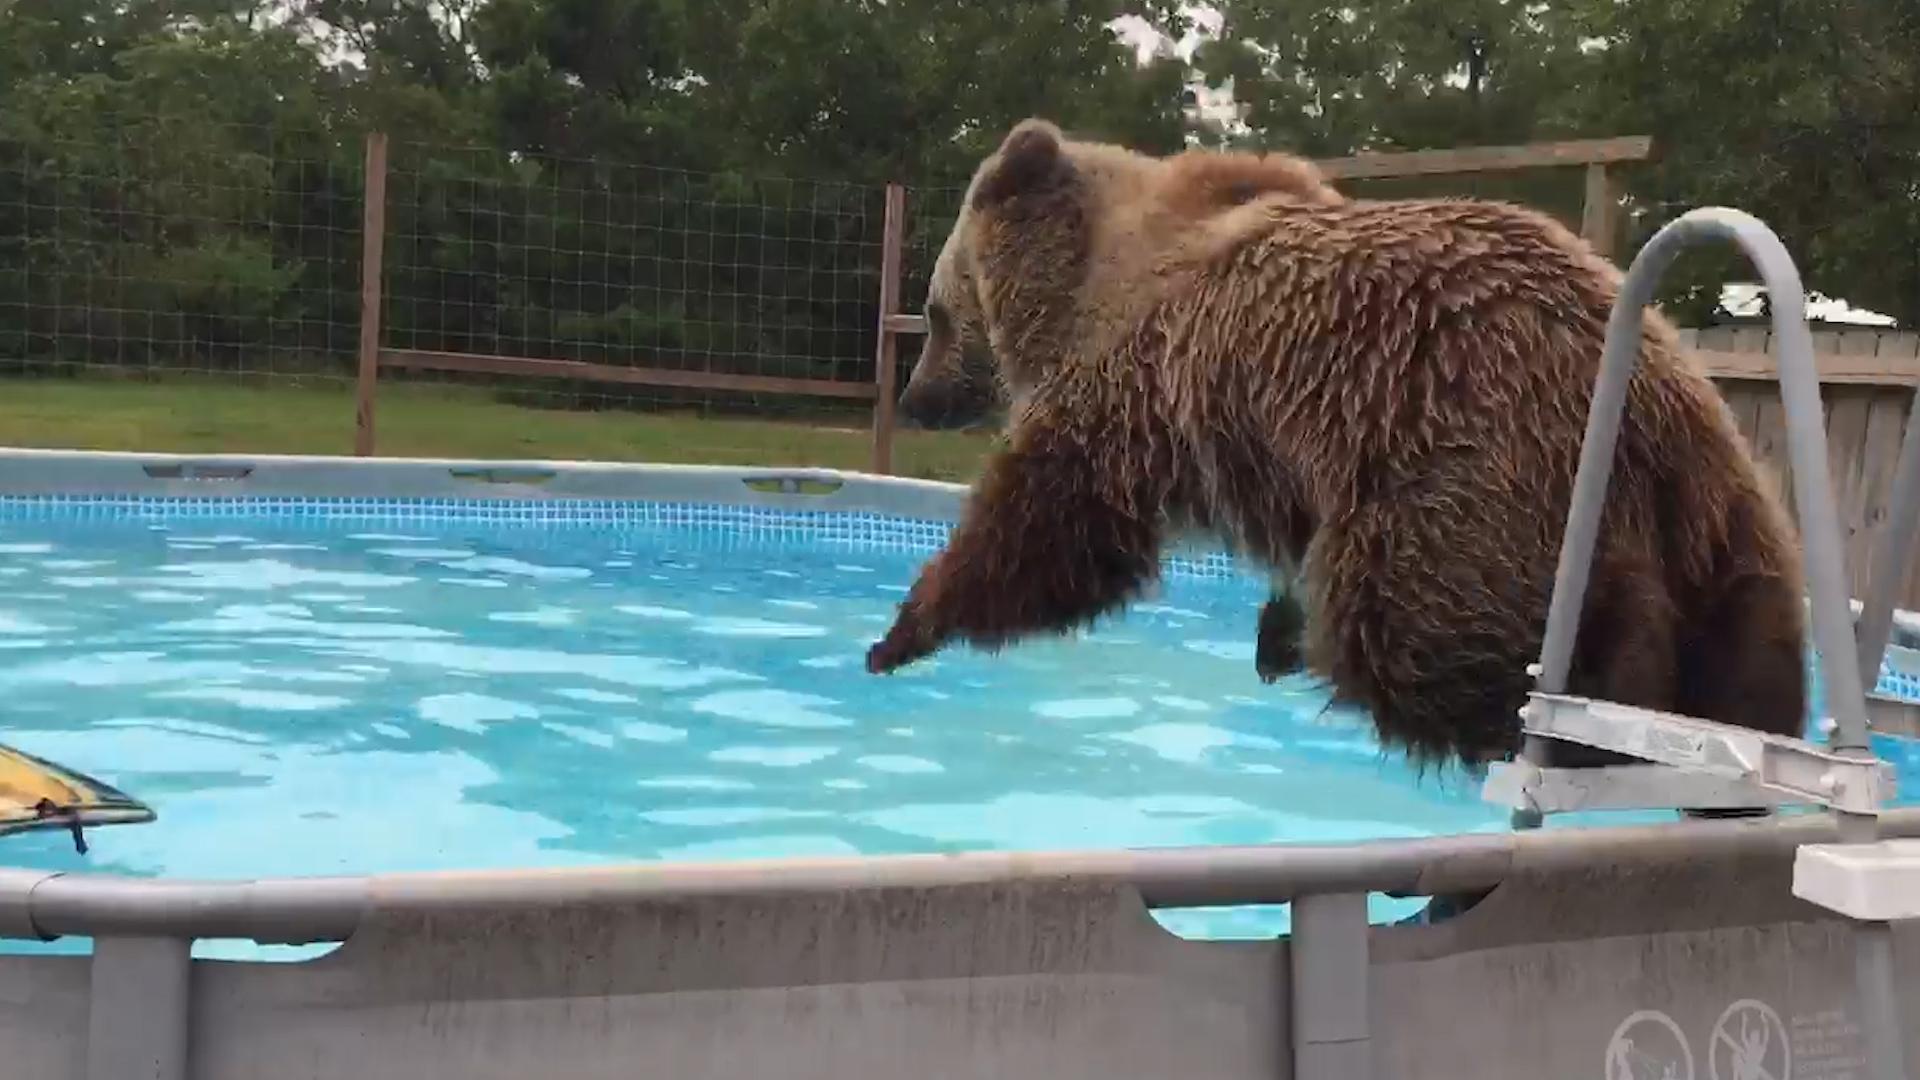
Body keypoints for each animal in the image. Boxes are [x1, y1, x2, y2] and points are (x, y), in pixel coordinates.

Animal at [875, 117, 1812, 768]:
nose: (918, 398)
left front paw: (904, 628)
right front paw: (1272, 629)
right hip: (1733, 525)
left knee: (1422, 639)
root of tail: (1655, 423)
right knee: (1754, 664)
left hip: (1467, 475)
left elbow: (1050, 529)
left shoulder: (1129, 391)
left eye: (935, 310)